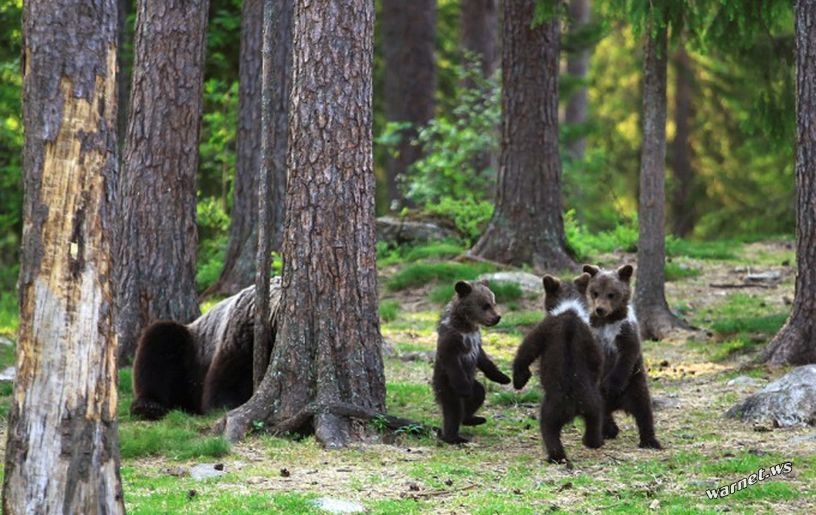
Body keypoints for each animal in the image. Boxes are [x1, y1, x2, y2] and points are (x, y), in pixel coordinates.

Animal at [129, 280, 278, 422]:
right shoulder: (243, 333)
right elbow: (230, 379)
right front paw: (225, 406)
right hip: (192, 350)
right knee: (160, 343)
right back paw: (148, 406)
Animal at [434, 280, 510, 446]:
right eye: (485, 305)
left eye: (494, 302)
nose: (497, 317)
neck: (467, 325)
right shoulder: (452, 341)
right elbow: (452, 361)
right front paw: (464, 389)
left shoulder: (476, 341)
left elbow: (484, 360)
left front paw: (504, 377)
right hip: (447, 386)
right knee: (453, 410)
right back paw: (454, 437)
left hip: (473, 384)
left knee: (478, 393)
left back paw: (473, 418)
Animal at [516, 274, 604, 464]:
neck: (569, 309)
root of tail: (573, 404)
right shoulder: (590, 338)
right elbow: (597, 361)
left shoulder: (543, 329)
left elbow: (526, 350)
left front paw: (519, 379)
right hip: (593, 401)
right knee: (595, 419)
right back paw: (593, 441)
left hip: (552, 408)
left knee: (549, 430)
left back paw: (556, 456)